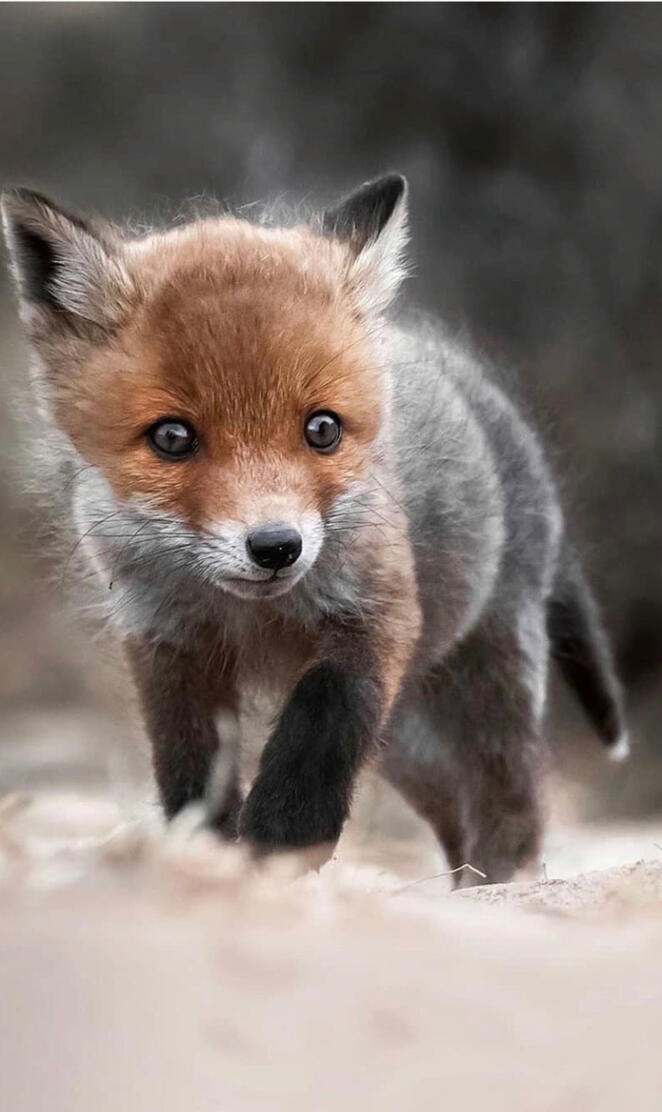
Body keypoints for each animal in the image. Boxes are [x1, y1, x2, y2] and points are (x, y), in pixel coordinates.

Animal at [1, 174, 628, 884]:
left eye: (322, 429)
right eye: (172, 438)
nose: (276, 546)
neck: (254, 618)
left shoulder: (376, 613)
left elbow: (322, 721)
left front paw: (282, 838)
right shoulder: (167, 640)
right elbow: (191, 765)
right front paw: (208, 853)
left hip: (488, 676)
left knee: (512, 795)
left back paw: (501, 881)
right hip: (408, 742)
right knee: (456, 810)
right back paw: (456, 887)